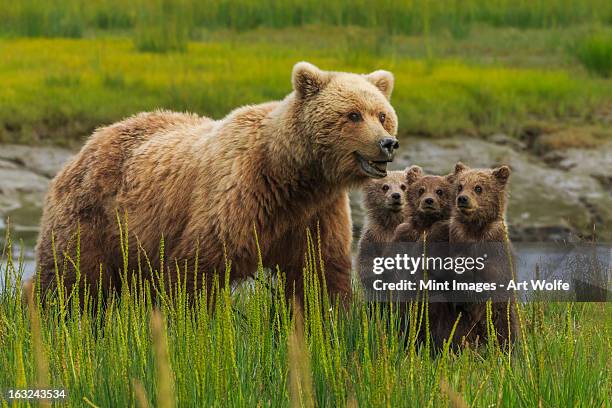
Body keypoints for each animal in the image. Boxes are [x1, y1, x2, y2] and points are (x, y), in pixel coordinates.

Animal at [37, 61, 402, 302]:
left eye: (382, 114)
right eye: (353, 115)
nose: (387, 143)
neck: (291, 176)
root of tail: (89, 142)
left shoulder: (316, 213)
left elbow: (320, 273)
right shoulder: (237, 196)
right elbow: (197, 270)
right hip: (94, 216)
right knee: (69, 275)